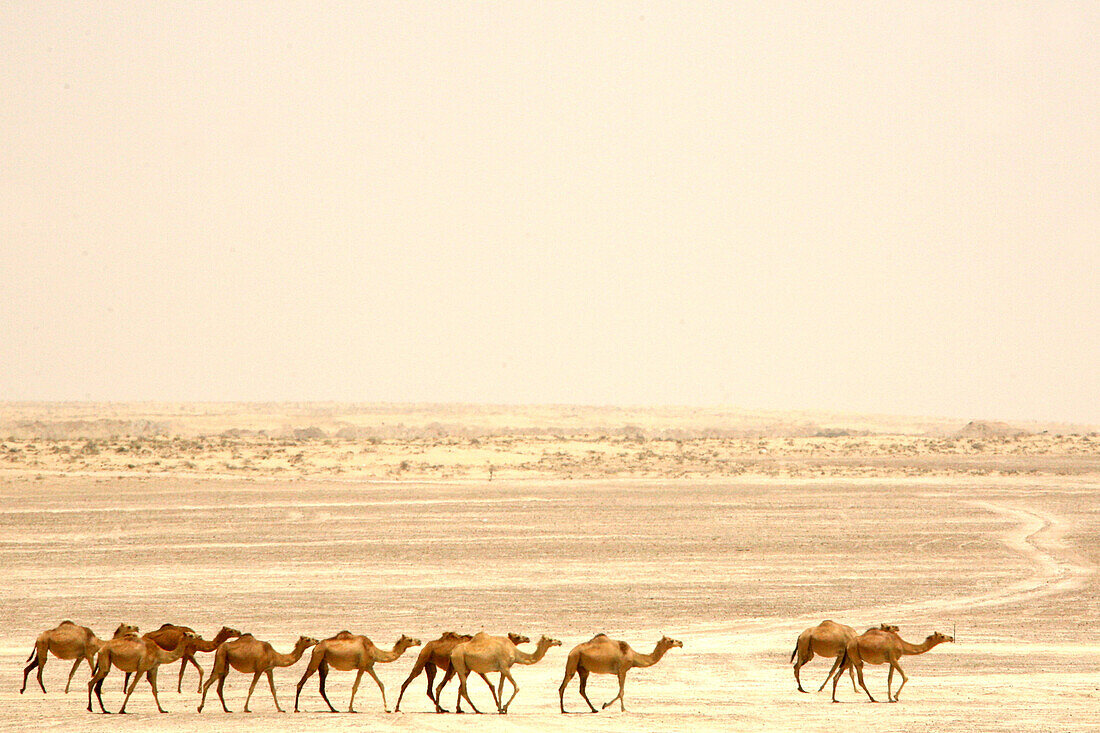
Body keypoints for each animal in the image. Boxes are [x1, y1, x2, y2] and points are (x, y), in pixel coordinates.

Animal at [292, 629, 420, 708]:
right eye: (409, 639)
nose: (419, 641)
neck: (372, 650)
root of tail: (316, 646)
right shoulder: (362, 667)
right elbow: (355, 687)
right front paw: (351, 708)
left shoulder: (369, 667)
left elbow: (381, 684)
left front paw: (386, 708)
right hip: (317, 656)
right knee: (304, 678)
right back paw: (296, 708)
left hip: (323, 661)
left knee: (321, 684)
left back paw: (333, 709)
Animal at [396, 629, 532, 708]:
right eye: (517, 636)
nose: (527, 638)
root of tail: (426, 645)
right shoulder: (474, 668)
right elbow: (467, 687)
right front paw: (499, 706)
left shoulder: (473, 668)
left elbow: (488, 685)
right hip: (423, 658)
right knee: (408, 681)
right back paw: (397, 707)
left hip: (431, 665)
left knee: (430, 688)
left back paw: (441, 708)